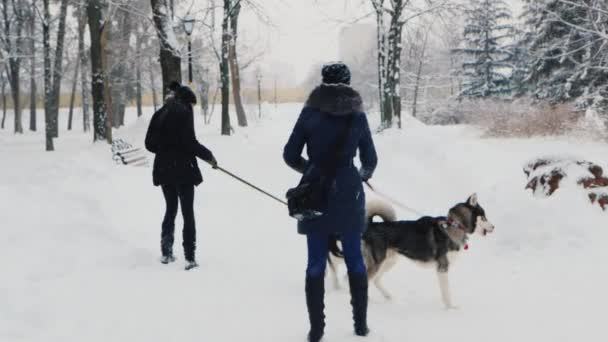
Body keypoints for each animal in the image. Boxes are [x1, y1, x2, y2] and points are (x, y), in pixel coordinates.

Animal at [328, 194, 494, 308]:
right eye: (484, 217)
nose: (494, 227)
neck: (455, 225)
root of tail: (370, 226)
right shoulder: (442, 268)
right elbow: (447, 293)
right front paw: (451, 308)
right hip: (376, 263)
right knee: (356, 277)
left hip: (388, 261)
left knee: (371, 279)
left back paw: (387, 297)